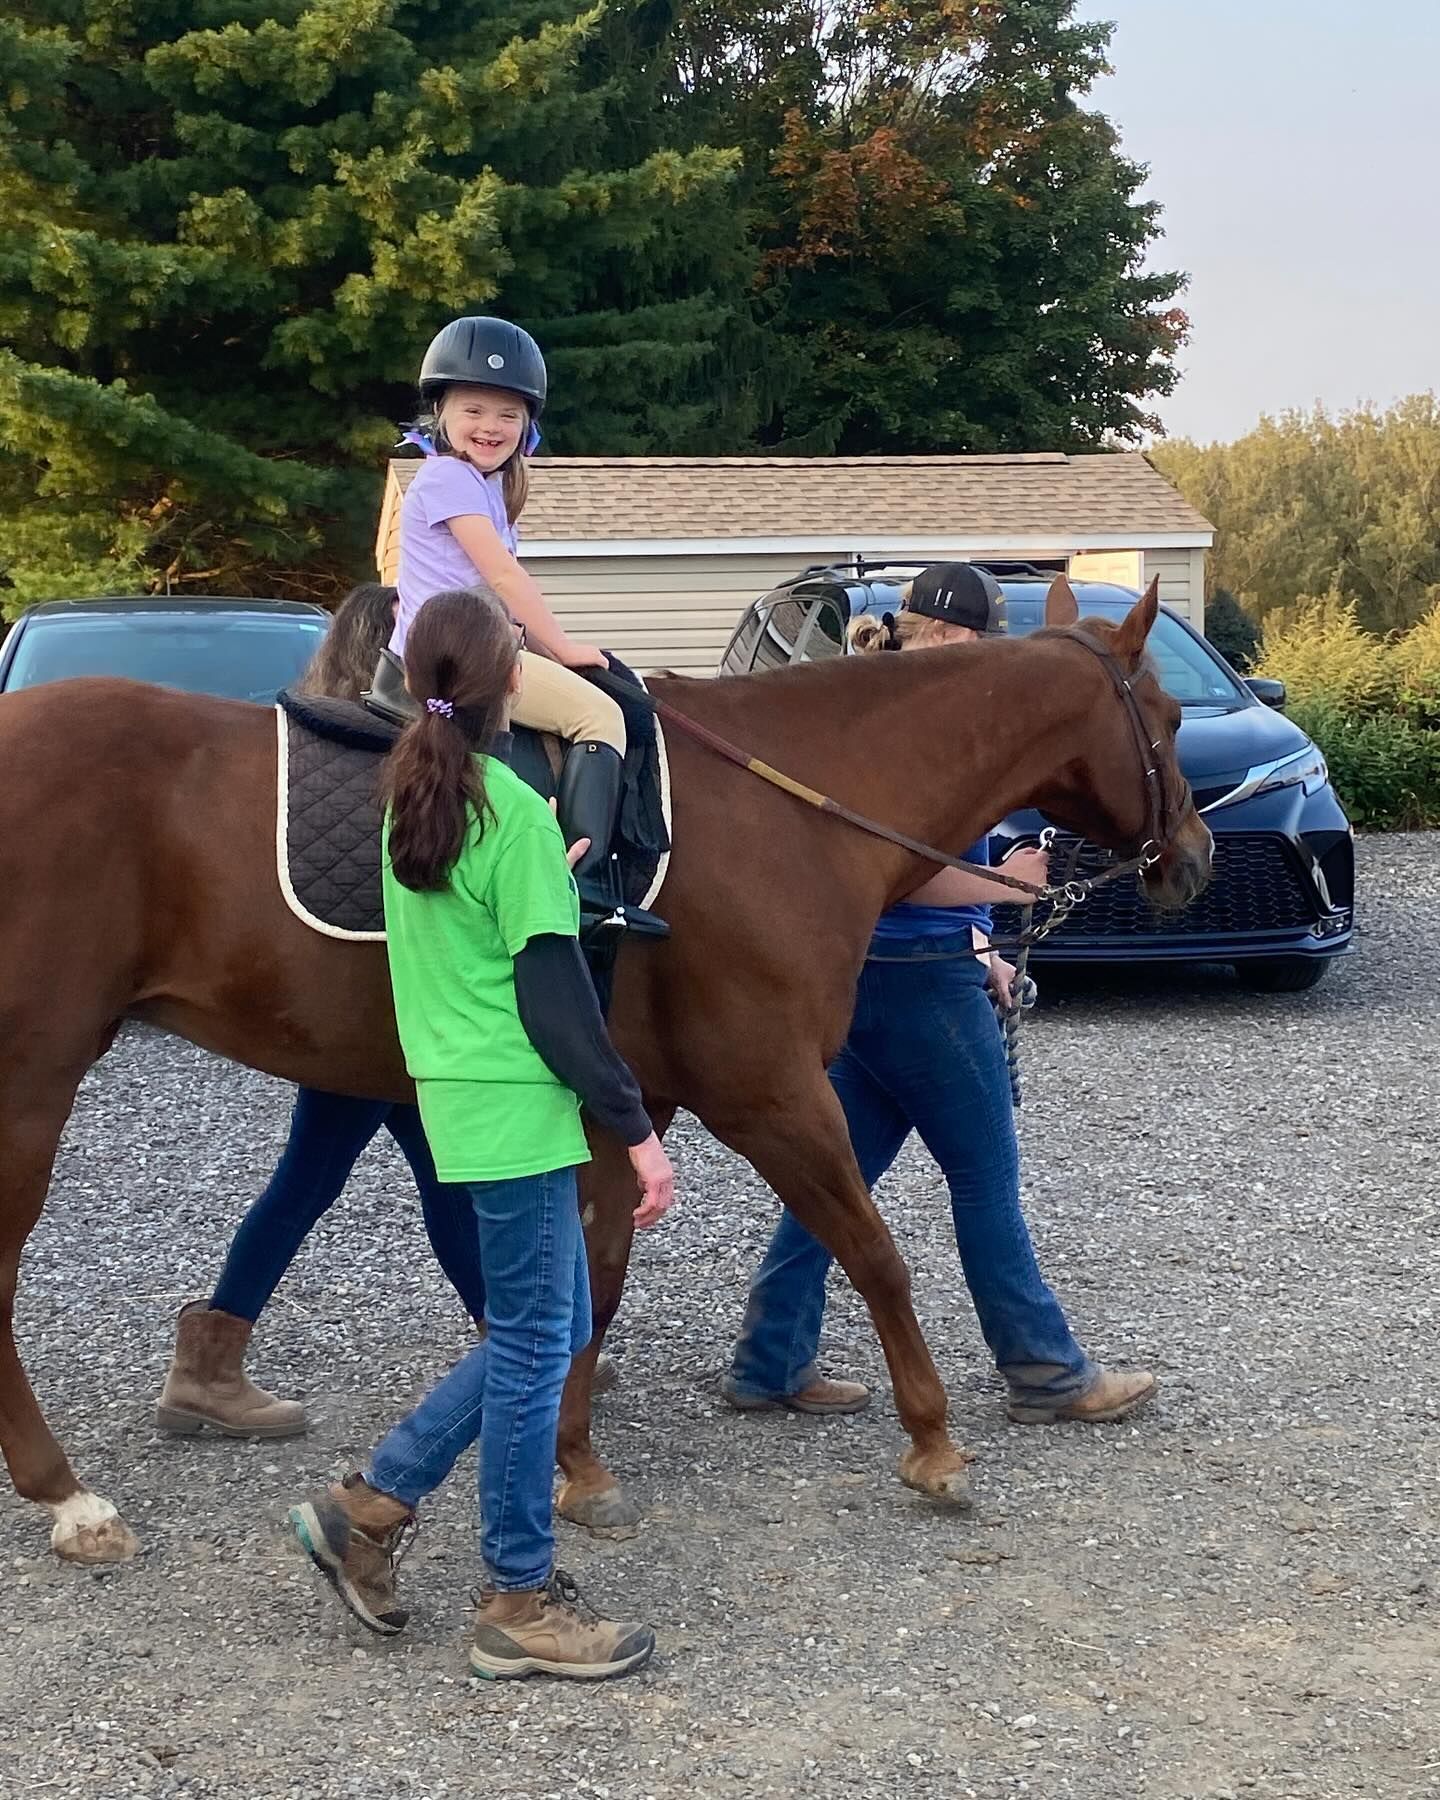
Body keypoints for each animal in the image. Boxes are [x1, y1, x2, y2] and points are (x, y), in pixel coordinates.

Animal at [0, 575, 1211, 1564]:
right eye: (1166, 717)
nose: (1193, 860)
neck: (792, 807)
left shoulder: (625, 1103)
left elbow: (598, 1278)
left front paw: (572, 1465)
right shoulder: (768, 1093)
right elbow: (875, 1254)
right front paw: (935, 1445)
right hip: (32, 1083)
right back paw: (69, 1499)